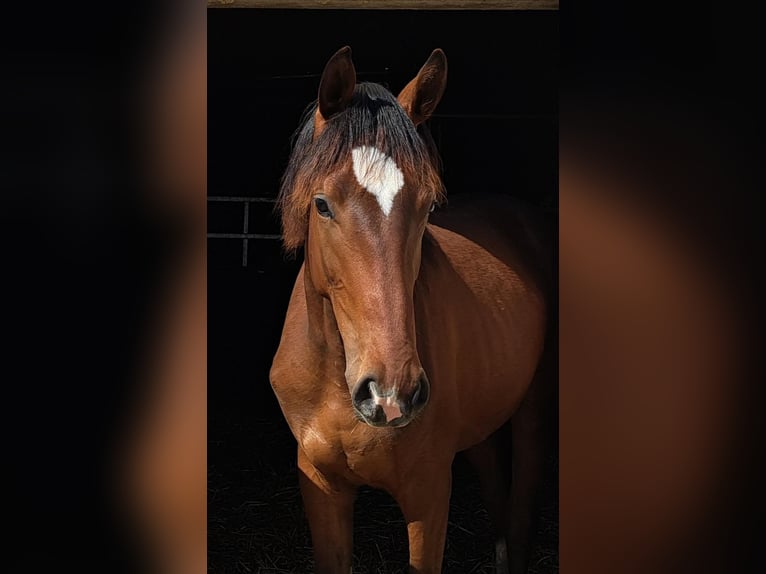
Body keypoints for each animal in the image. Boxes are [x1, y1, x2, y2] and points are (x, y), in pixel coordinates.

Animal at [269, 46, 555, 574]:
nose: (390, 393)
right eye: (322, 204)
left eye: (426, 207)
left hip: (532, 411)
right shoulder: (320, 488)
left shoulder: (428, 494)